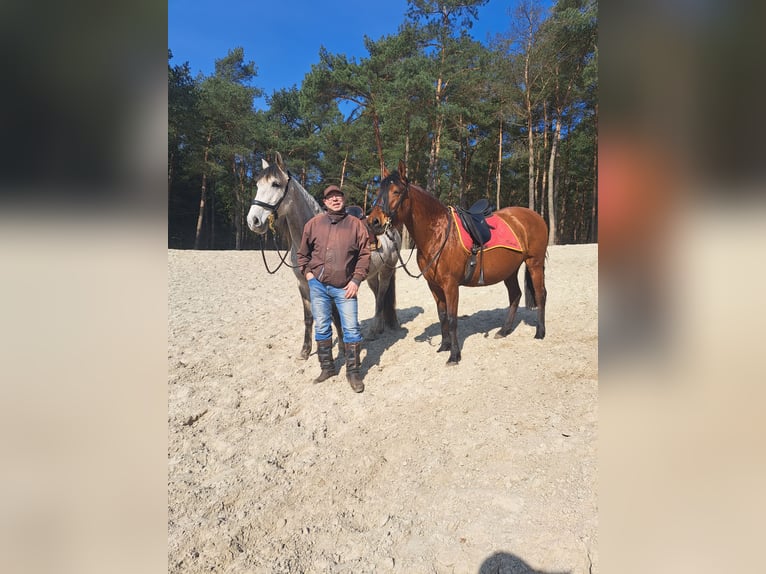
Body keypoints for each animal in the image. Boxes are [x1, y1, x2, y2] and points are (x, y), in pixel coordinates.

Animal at [368, 162, 548, 366]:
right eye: (378, 191)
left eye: (396, 191)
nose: (373, 222)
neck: (438, 235)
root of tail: (535, 216)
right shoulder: (434, 285)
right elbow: (442, 316)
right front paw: (444, 346)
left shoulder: (451, 285)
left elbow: (453, 318)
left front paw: (454, 355)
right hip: (509, 270)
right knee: (515, 295)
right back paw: (504, 331)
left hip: (534, 263)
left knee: (540, 295)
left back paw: (540, 332)